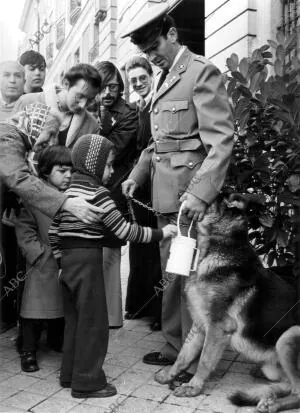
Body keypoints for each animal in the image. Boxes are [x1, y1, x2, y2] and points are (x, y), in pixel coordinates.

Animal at [155, 194, 300, 412]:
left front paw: (193, 387)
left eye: (208, 198)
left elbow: (204, 360)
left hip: (288, 336)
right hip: (272, 366)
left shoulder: (217, 328)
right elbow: (184, 354)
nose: (182, 196)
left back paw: (272, 404)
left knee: (298, 391)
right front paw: (171, 375)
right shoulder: (200, 325)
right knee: (289, 386)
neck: (219, 246)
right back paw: (267, 398)